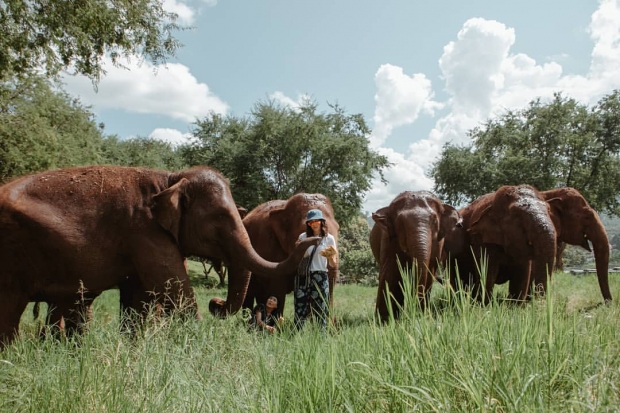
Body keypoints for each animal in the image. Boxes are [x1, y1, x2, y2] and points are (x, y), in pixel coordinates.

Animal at [0, 166, 318, 346]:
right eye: (218, 219)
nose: (215, 303)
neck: (171, 179)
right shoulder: (144, 231)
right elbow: (174, 289)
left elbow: (138, 297)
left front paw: (135, 347)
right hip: (12, 253)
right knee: (10, 308)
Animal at [370, 191, 462, 322]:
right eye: (401, 222)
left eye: (434, 221)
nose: (414, 313)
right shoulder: (388, 238)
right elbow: (390, 271)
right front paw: (384, 322)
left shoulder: (438, 243)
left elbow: (429, 270)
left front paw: (423, 318)